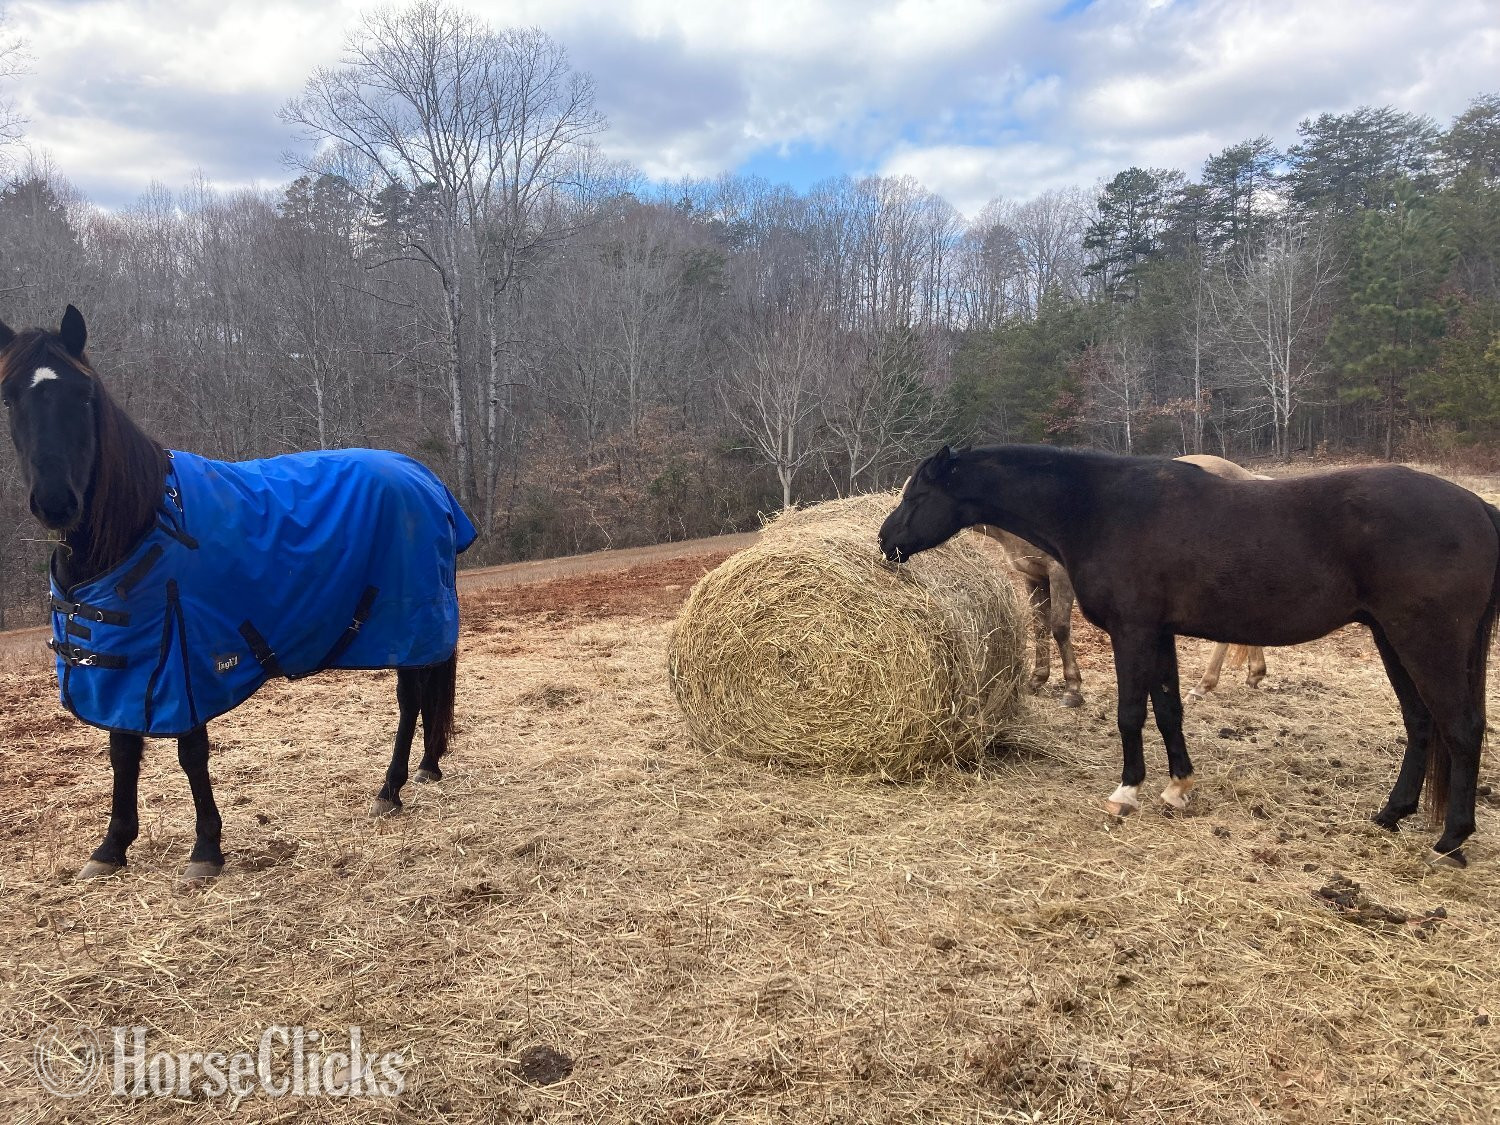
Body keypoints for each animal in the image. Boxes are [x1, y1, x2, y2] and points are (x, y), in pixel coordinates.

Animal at [2, 307, 477, 884]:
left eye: (83, 394)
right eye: (9, 397)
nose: (55, 503)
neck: (142, 524)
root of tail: (423, 477)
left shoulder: (186, 663)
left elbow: (191, 752)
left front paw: (206, 848)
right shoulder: (125, 667)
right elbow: (122, 749)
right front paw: (111, 847)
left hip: (409, 626)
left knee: (410, 700)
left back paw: (391, 789)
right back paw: (428, 768)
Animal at [979, 454, 1269, 707]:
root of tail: (1247, 477)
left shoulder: (1059, 574)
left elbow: (1059, 627)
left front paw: (1073, 689)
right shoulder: (1033, 577)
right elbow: (1039, 627)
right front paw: (1037, 678)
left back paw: (1203, 685)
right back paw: (1253, 673)